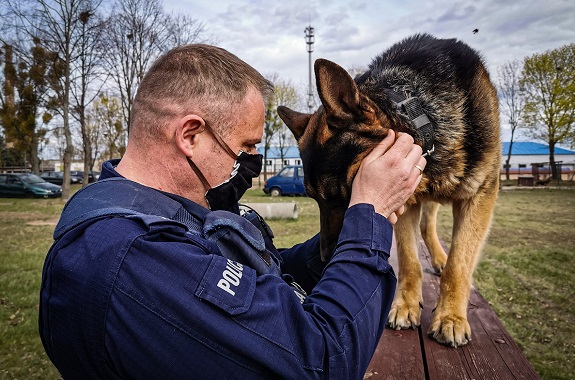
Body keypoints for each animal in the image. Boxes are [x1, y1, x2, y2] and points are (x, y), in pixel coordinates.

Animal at [278, 33, 500, 348]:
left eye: (347, 195)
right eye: (316, 199)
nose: (325, 259)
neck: (421, 111)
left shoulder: (479, 196)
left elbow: (459, 264)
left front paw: (451, 317)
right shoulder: (405, 202)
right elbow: (409, 260)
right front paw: (406, 305)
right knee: (426, 226)